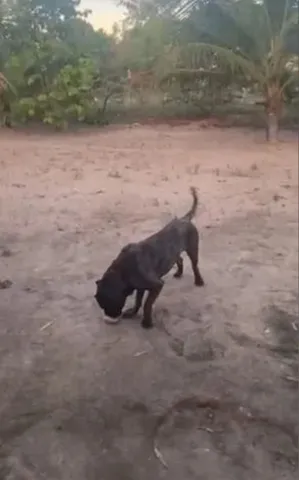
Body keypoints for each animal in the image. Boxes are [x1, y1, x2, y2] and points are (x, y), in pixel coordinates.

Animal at [95, 186, 205, 328]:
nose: (109, 317)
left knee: (194, 265)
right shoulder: (140, 287)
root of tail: (184, 219)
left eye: (109, 303)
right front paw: (133, 313)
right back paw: (179, 273)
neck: (122, 271)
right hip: (174, 253)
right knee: (179, 259)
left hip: (193, 249)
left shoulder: (157, 285)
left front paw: (146, 322)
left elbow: (147, 304)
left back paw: (199, 281)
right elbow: (138, 301)